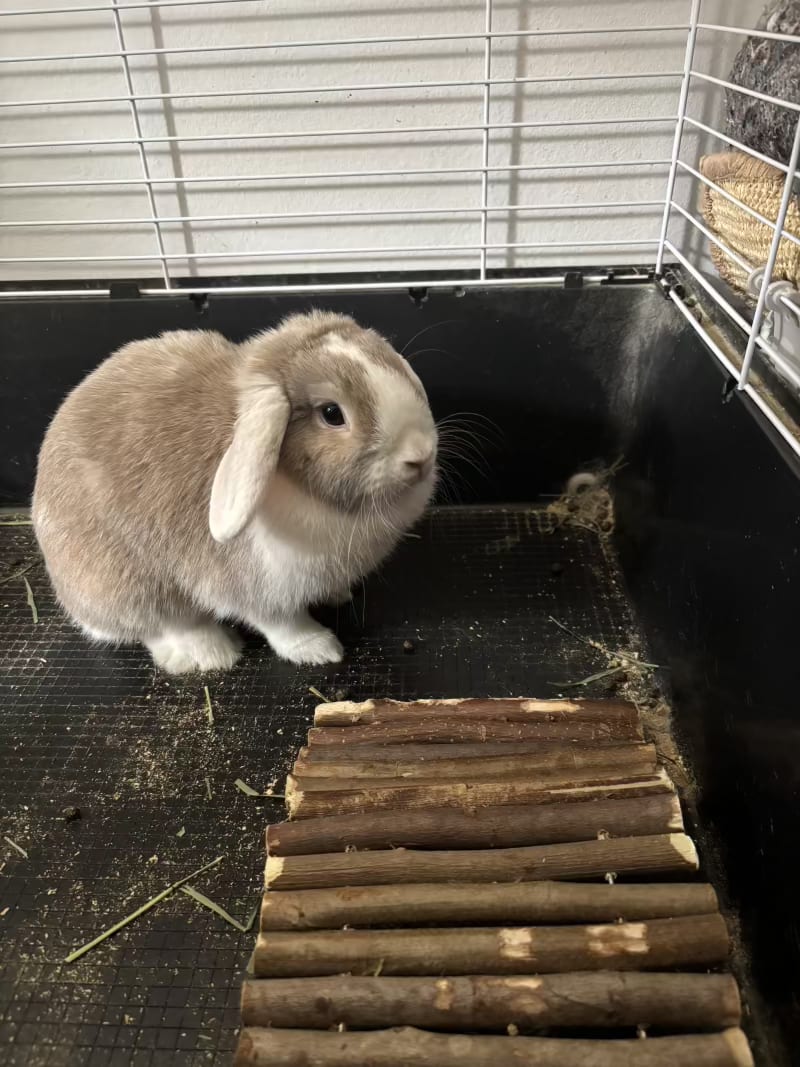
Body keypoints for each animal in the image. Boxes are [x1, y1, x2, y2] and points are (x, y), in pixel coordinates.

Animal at [32, 310, 438, 674]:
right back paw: (212, 653)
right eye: (332, 414)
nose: (420, 455)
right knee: (164, 626)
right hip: (133, 585)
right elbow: (282, 625)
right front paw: (319, 649)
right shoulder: (261, 590)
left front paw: (340, 594)